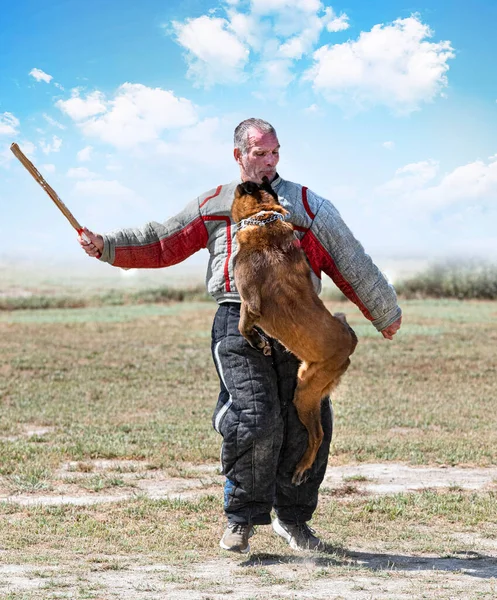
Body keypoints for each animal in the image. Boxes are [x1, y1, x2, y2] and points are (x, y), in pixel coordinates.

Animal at [232, 177, 356, 482]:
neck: (264, 219)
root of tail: (351, 341)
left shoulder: (250, 302)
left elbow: (243, 325)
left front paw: (258, 342)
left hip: (304, 394)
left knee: (318, 435)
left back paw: (301, 469)